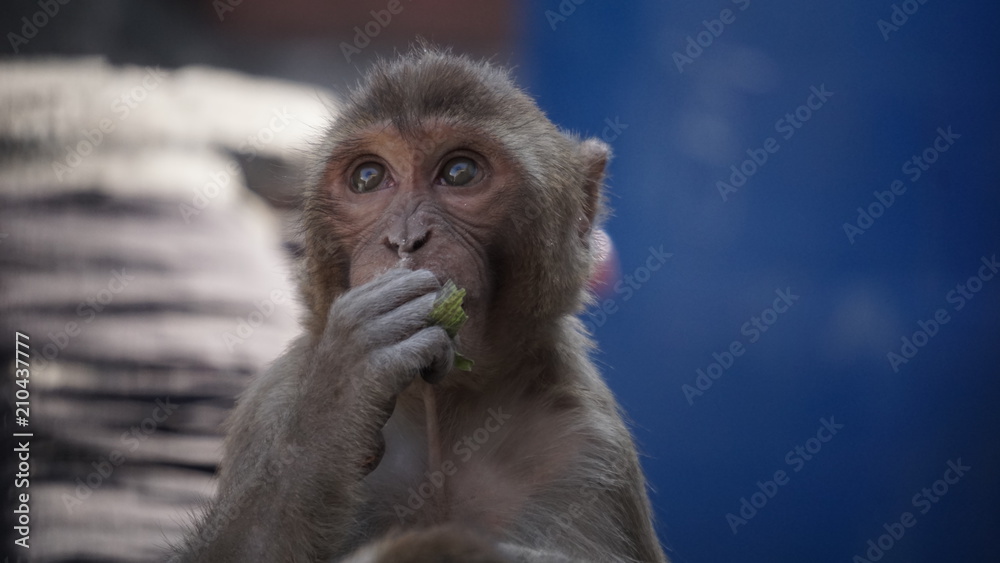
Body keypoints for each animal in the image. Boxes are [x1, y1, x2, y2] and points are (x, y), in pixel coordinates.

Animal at [174, 46, 667, 563]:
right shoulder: (273, 401)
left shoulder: (590, 447)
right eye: (368, 177)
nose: (405, 239)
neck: (438, 405)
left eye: (460, 173)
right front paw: (341, 392)